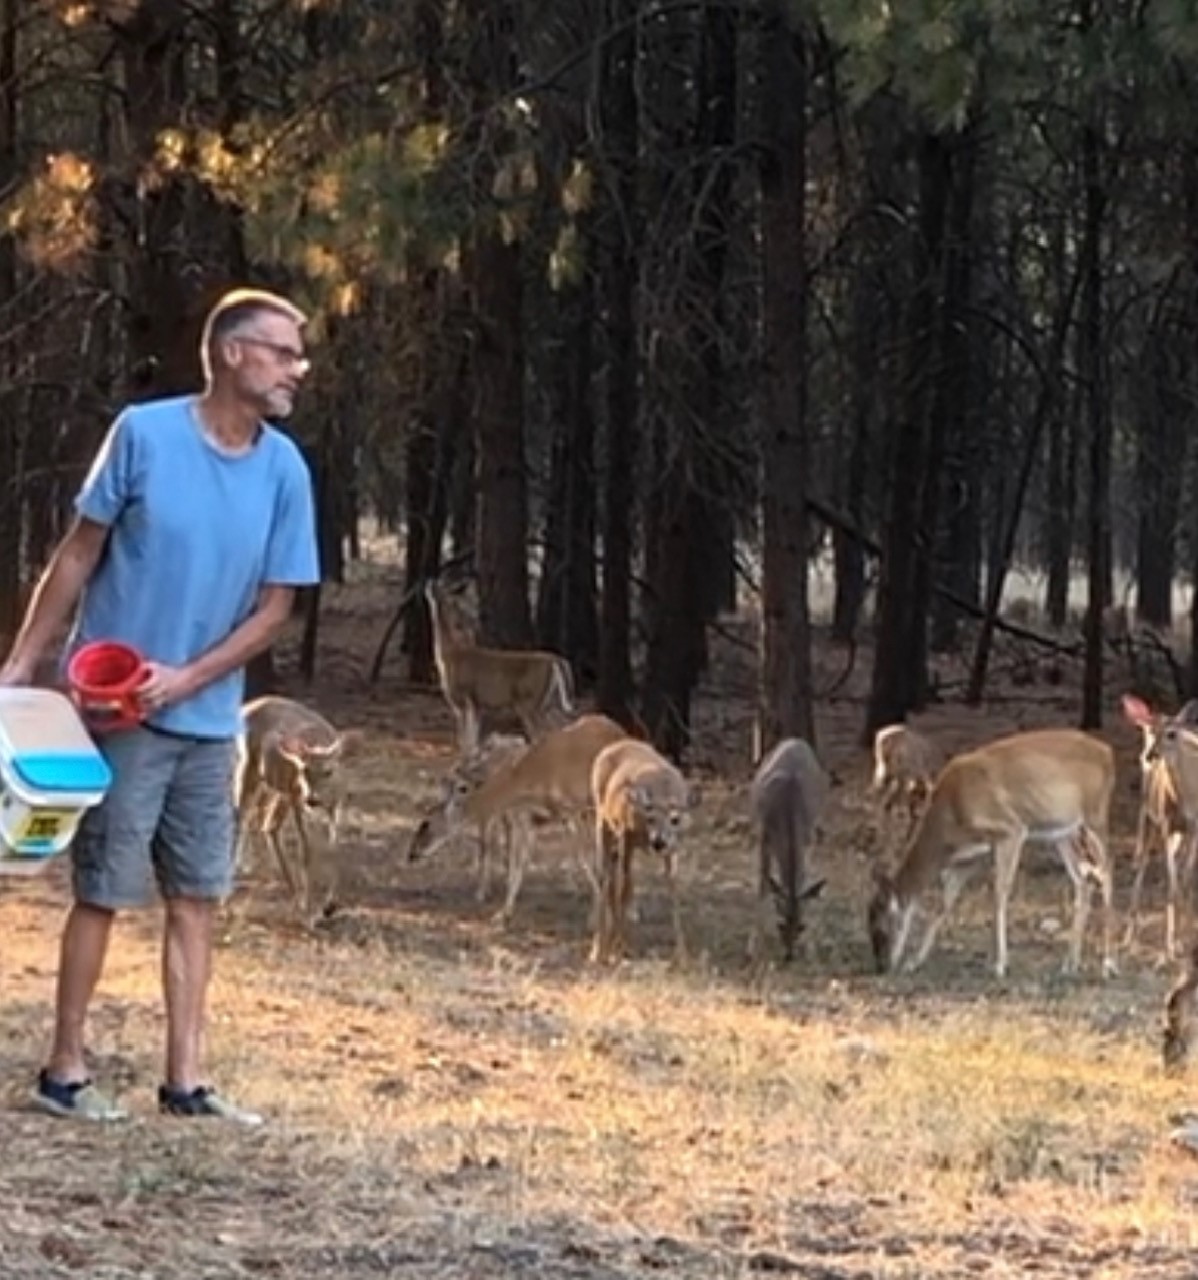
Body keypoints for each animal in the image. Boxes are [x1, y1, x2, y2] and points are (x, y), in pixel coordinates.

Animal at [236, 696, 350, 926]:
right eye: (304, 770)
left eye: (328, 771)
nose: (312, 799)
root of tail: (246, 706)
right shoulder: (297, 799)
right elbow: (307, 850)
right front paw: (311, 912)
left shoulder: (336, 805)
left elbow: (336, 848)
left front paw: (330, 905)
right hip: (250, 768)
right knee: (242, 814)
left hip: (275, 787)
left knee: (265, 822)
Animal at [407, 711, 627, 931]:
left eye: (426, 823)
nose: (411, 854)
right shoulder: (536, 817)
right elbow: (520, 862)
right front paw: (502, 915)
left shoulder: (571, 809)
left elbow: (586, 859)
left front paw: (596, 918)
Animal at [586, 737, 691, 962]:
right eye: (650, 817)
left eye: (675, 819)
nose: (658, 842)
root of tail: (614, 744)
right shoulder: (626, 834)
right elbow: (624, 888)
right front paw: (620, 947)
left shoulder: (673, 848)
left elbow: (673, 889)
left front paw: (682, 953)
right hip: (604, 820)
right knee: (606, 877)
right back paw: (599, 950)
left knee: (615, 879)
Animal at [747, 742, 834, 962]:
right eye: (780, 925)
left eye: (802, 926)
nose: (790, 955)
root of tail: (795, 741)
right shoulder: (764, 836)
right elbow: (763, 884)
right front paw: (753, 946)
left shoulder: (809, 838)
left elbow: (804, 880)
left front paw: (811, 948)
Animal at [865, 732, 1116, 977]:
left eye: (882, 925)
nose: (881, 967)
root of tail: (1108, 753)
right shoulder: (970, 857)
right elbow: (945, 903)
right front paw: (914, 962)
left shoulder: (1011, 830)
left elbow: (998, 895)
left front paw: (999, 965)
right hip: (1063, 833)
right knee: (1082, 881)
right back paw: (1069, 965)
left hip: (1095, 816)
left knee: (1106, 873)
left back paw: (1108, 965)